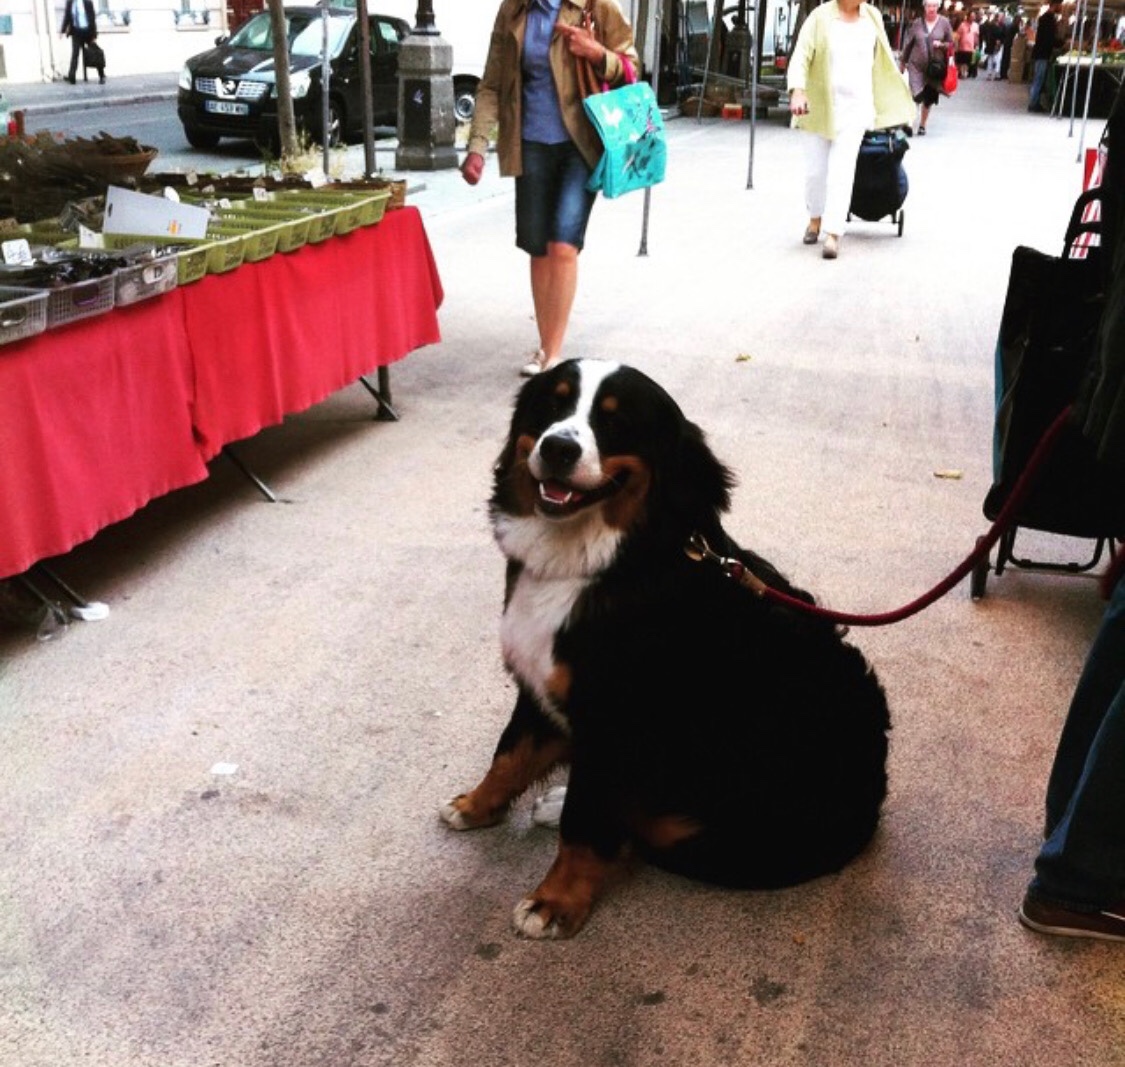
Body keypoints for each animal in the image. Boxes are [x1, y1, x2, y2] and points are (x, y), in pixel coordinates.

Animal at [438, 362, 886, 936]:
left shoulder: (615, 721)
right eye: (553, 404)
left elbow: (585, 821)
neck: (598, 563)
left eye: (616, 420)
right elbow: (509, 755)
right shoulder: (539, 686)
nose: (558, 447)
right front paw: (475, 805)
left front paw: (554, 901)